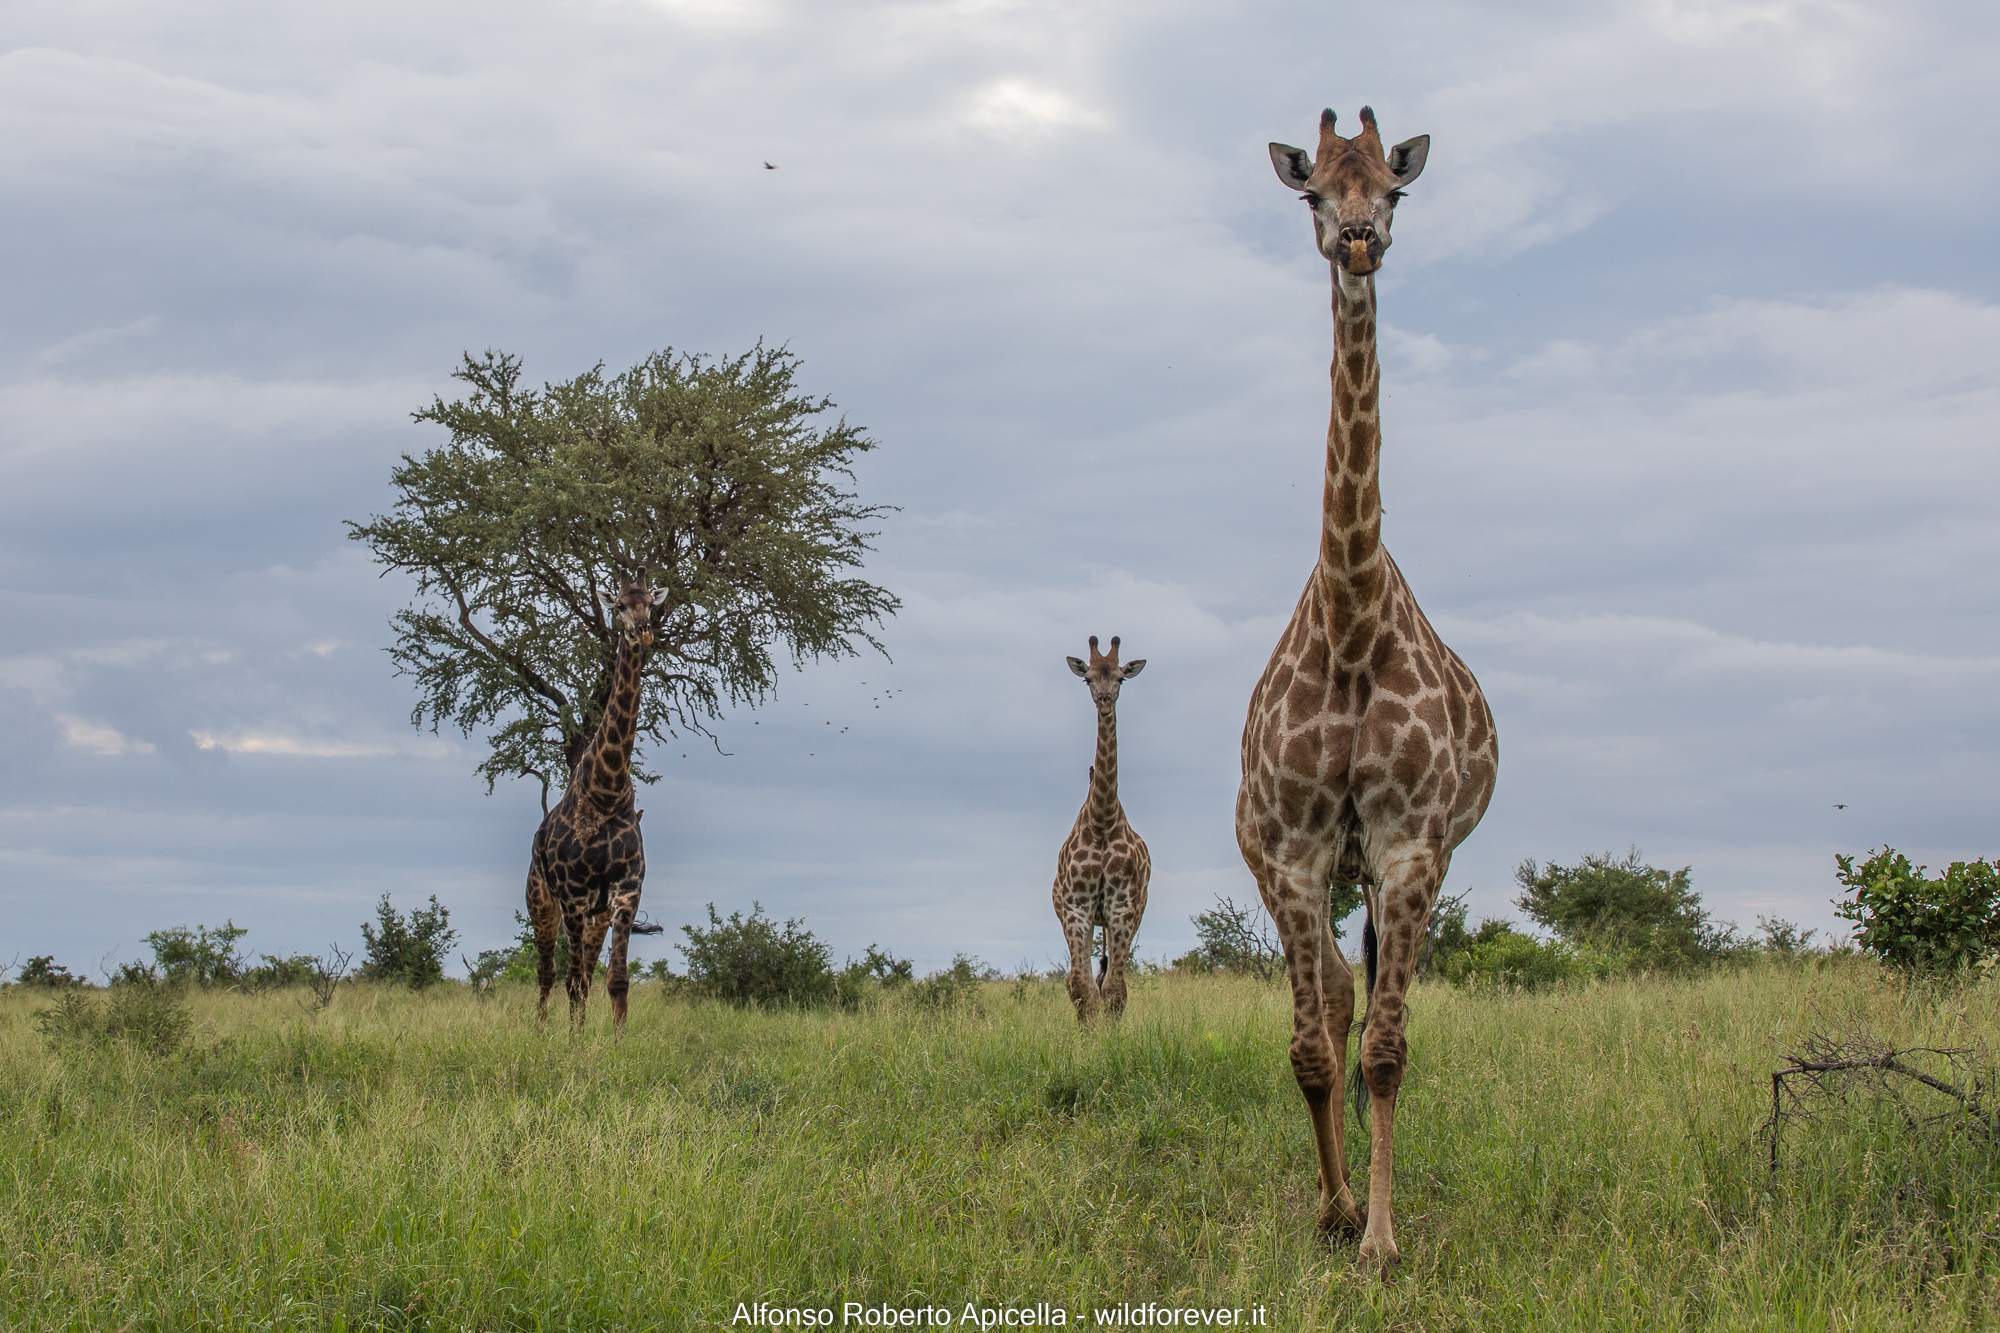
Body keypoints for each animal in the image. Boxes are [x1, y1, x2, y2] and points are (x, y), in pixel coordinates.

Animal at [526, 573, 666, 1033]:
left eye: (651, 603)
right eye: (619, 605)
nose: (643, 630)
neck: (606, 789)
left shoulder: (626, 891)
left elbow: (616, 979)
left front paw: (616, 1043)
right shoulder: (573, 894)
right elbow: (573, 982)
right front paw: (573, 1044)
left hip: (595, 915)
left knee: (584, 969)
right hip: (541, 902)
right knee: (550, 971)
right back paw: (541, 1031)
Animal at [1053, 635, 1150, 1023]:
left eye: (1121, 678)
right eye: (1088, 678)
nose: (1105, 700)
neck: (1103, 819)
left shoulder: (1122, 908)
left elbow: (1113, 992)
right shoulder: (1076, 907)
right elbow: (1082, 987)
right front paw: (1088, 1038)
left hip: (1125, 917)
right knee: (1079, 981)